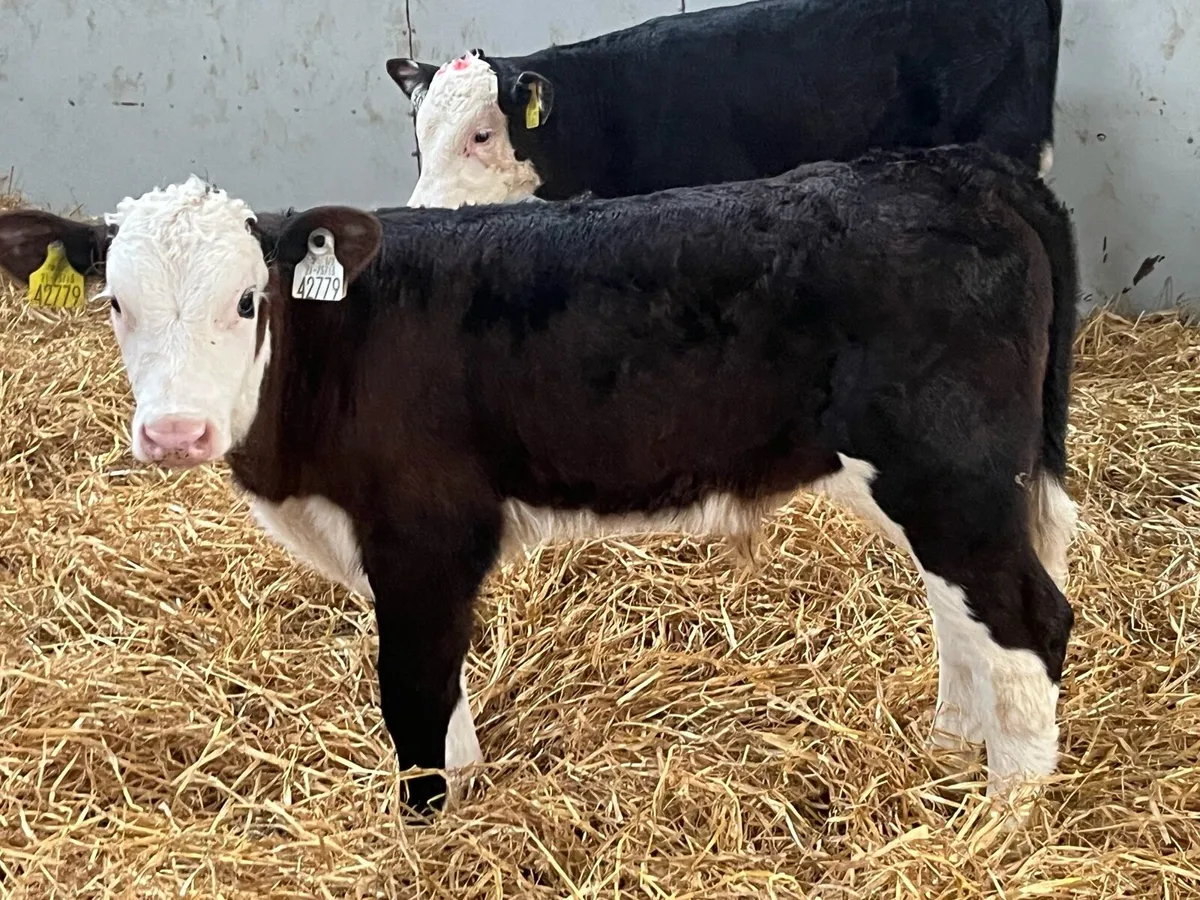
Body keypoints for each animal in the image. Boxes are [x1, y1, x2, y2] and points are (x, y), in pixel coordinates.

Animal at [0, 143, 1078, 822]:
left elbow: (413, 687)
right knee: (965, 611)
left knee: (1030, 615)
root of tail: (957, 167)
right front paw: (469, 793)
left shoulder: (429, 533)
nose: (174, 432)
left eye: (247, 300)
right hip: (954, 484)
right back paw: (953, 746)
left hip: (946, 470)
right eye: (115, 303)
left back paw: (1003, 817)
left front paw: (427, 828)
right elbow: (442, 691)